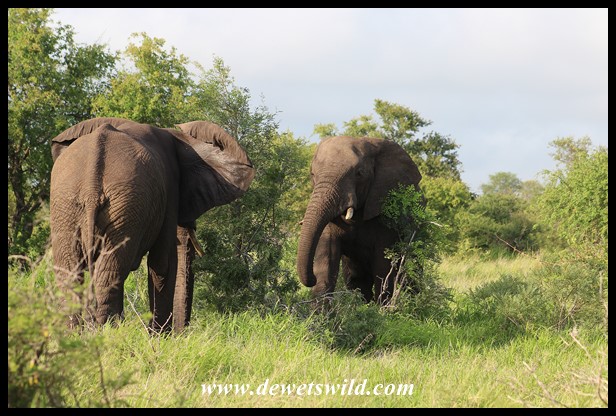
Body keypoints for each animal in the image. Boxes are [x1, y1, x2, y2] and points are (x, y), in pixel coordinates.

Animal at [49, 117, 254, 333]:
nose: (182, 335)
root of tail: (91, 186)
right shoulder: (170, 188)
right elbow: (163, 263)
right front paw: (160, 336)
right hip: (115, 206)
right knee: (106, 273)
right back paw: (108, 331)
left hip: (73, 205)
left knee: (74, 273)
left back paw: (78, 333)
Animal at [297, 136, 423, 305]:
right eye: (312, 174)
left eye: (359, 173)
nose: (311, 279)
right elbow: (327, 257)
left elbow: (383, 266)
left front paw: (382, 311)